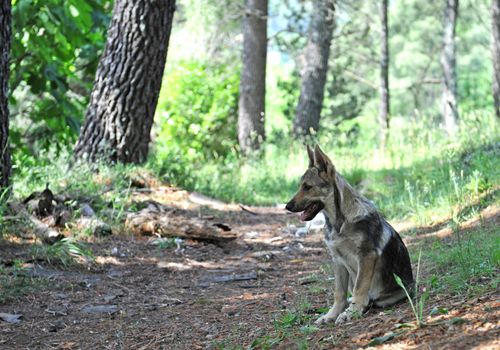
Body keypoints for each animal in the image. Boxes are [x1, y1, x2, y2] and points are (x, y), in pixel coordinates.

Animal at [286, 145, 414, 326]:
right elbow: (339, 293)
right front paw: (332, 314)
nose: (287, 206)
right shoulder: (338, 260)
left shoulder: (366, 256)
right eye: (300, 186)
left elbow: (359, 288)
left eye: (308, 187)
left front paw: (352, 312)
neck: (339, 222)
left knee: (372, 298)